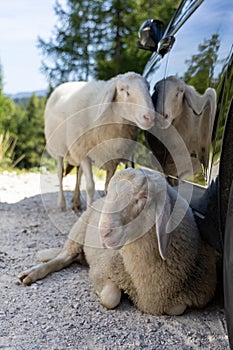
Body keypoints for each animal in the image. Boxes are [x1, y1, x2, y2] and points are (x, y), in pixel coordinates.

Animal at [18, 168, 217, 316]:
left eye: (144, 197)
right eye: (109, 192)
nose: (103, 233)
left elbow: (177, 308)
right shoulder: (100, 267)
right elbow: (110, 298)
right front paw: (101, 294)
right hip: (79, 229)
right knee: (63, 257)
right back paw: (31, 273)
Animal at [44, 72, 156, 211]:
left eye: (148, 88)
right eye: (122, 89)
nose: (150, 117)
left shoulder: (112, 158)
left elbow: (108, 187)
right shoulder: (85, 154)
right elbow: (90, 187)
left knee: (79, 174)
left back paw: (76, 202)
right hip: (58, 148)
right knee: (60, 174)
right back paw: (62, 204)